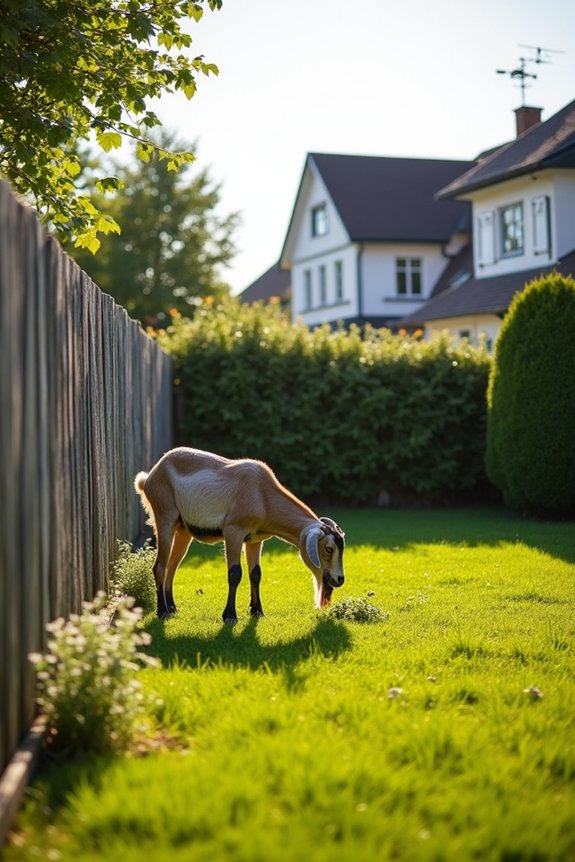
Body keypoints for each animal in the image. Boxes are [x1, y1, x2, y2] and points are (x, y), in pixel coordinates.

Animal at [134, 447, 345, 622]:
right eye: (328, 548)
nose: (340, 579)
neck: (261, 494)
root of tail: (149, 477)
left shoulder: (254, 540)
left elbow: (256, 574)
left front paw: (257, 611)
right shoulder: (233, 532)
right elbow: (235, 573)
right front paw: (230, 616)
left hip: (183, 531)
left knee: (172, 566)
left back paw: (172, 607)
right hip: (165, 519)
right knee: (160, 567)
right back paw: (163, 612)